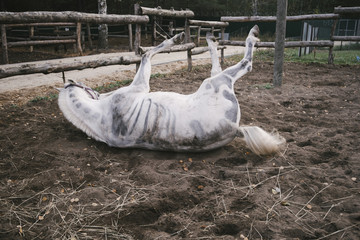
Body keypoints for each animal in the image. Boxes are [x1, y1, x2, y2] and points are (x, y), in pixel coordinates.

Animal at [58, 25, 284, 155]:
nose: (95, 93)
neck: (100, 115)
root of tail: (235, 128)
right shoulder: (140, 87)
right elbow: (146, 55)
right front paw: (175, 39)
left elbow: (146, 54)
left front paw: (177, 38)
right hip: (216, 82)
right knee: (245, 64)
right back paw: (251, 34)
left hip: (213, 81)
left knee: (217, 62)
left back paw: (211, 37)